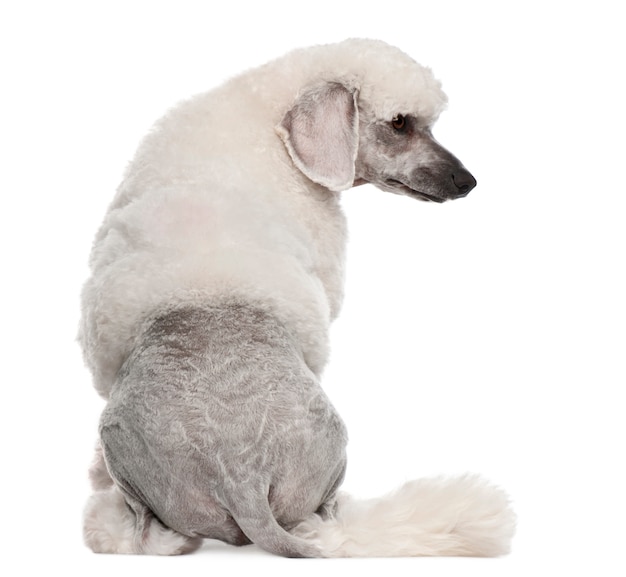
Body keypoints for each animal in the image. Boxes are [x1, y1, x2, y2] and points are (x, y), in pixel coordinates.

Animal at [80, 38, 516, 556]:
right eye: (399, 122)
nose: (466, 181)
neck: (267, 123)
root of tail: (243, 482)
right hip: (335, 447)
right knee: (324, 518)